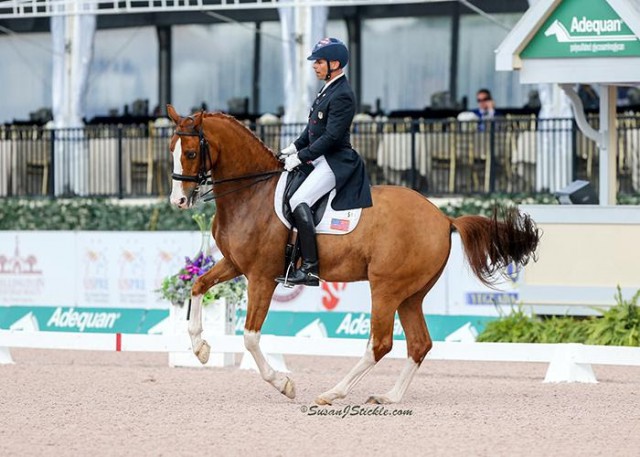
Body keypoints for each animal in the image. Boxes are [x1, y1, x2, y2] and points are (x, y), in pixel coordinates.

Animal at [166, 106, 540, 402]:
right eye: (171, 149)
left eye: (190, 153)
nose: (178, 201)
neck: (251, 193)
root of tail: (443, 217)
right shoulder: (234, 263)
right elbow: (198, 286)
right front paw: (200, 349)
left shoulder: (261, 276)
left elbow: (250, 338)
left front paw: (283, 383)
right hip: (411, 294)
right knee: (418, 343)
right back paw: (389, 397)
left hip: (386, 288)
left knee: (381, 343)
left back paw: (333, 393)